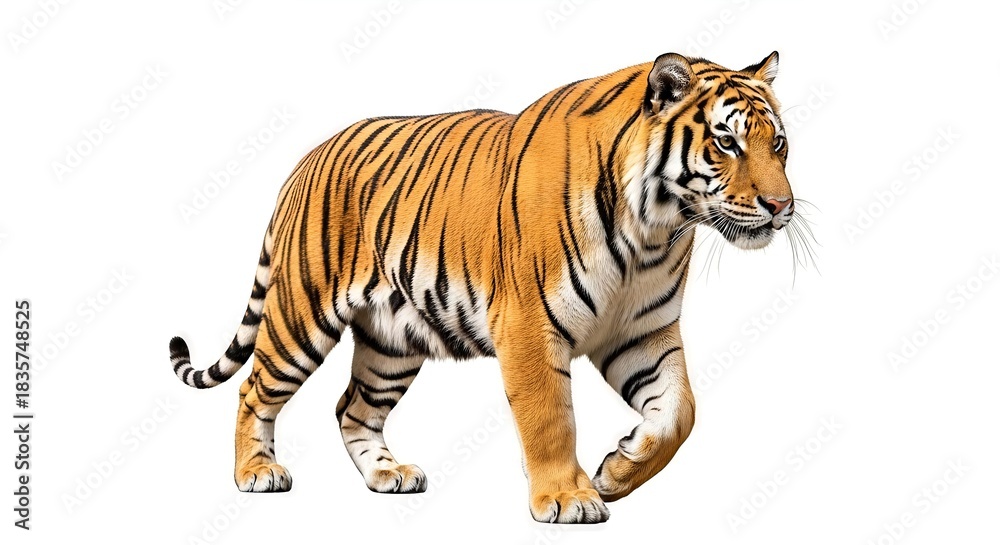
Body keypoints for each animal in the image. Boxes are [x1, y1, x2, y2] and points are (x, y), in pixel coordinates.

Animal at [169, 51, 795, 524]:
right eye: (727, 143)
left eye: (779, 144)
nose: (781, 206)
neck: (656, 230)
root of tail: (305, 161)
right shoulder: (530, 326)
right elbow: (551, 417)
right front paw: (567, 498)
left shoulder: (643, 332)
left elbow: (679, 412)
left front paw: (618, 470)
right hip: (301, 315)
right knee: (253, 391)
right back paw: (256, 473)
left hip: (392, 342)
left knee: (353, 408)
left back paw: (387, 473)